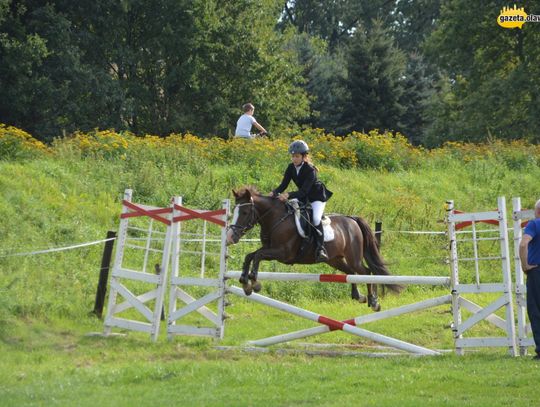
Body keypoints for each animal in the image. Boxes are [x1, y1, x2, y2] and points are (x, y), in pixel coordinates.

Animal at [226, 187, 402, 312]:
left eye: (245, 212)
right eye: (233, 211)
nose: (230, 237)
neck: (276, 218)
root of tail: (352, 219)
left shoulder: (282, 253)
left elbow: (258, 256)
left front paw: (254, 283)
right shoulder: (270, 248)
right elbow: (250, 256)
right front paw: (245, 282)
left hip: (354, 257)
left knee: (365, 272)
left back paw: (373, 301)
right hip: (335, 260)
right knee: (350, 272)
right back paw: (358, 296)